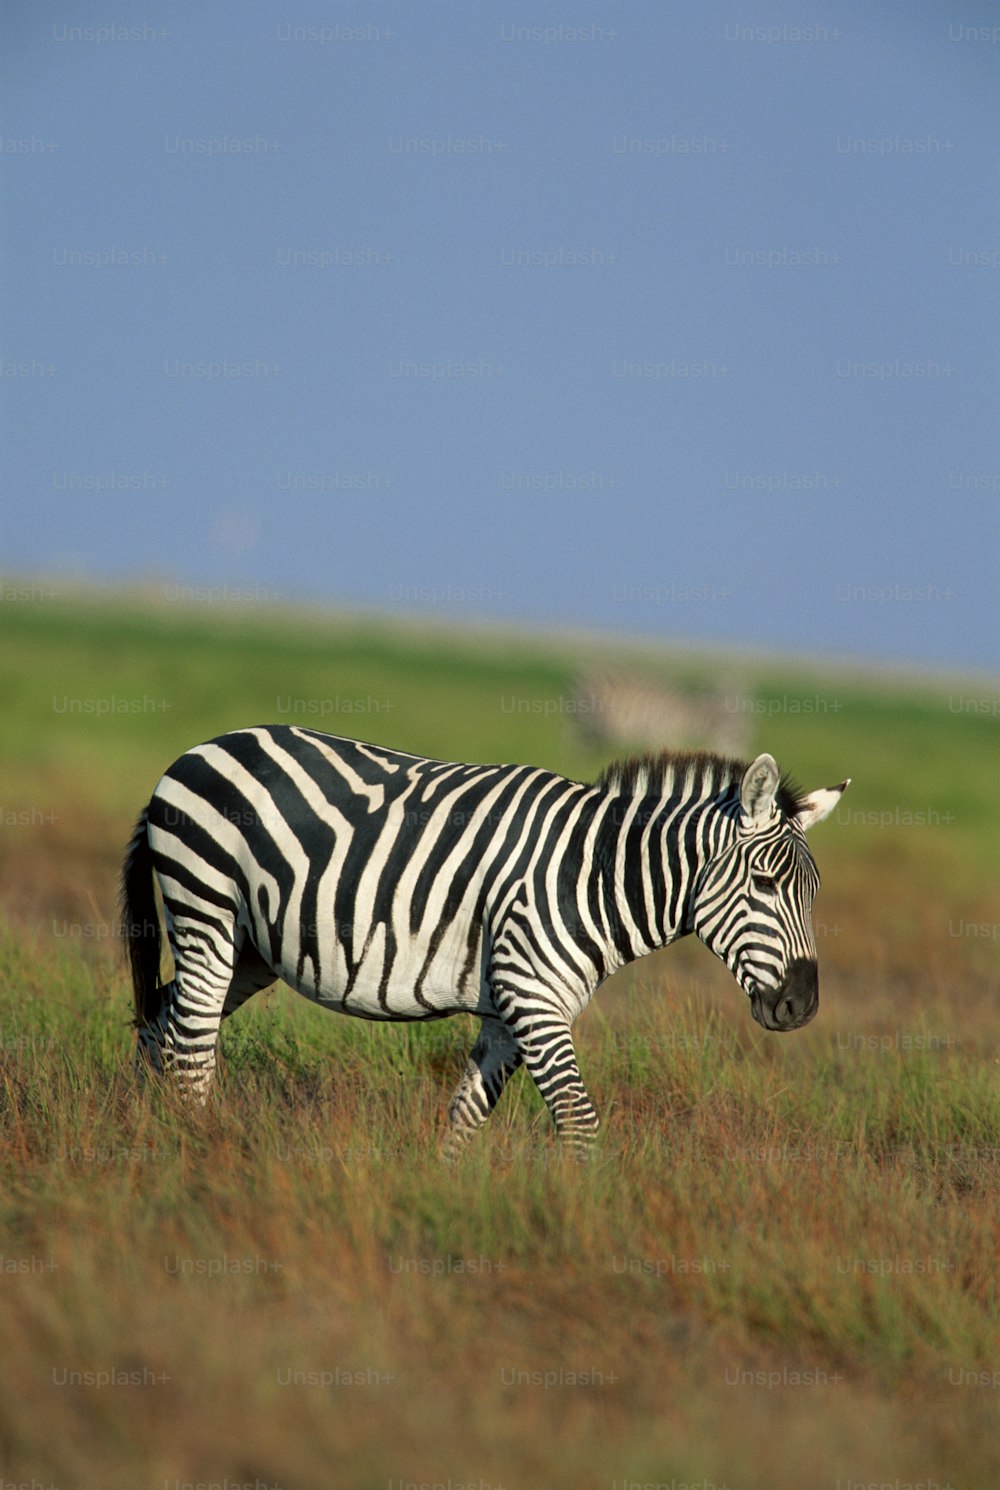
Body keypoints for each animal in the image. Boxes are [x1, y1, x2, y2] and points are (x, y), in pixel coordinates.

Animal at [121, 727, 846, 1156]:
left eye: (812, 894)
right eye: (763, 883)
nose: (802, 1006)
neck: (593, 874)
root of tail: (196, 751)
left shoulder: (509, 1010)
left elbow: (466, 1116)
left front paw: (447, 1204)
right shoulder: (535, 999)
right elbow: (579, 1123)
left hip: (249, 948)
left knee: (163, 1023)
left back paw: (144, 1139)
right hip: (207, 910)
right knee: (190, 1047)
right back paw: (192, 1154)